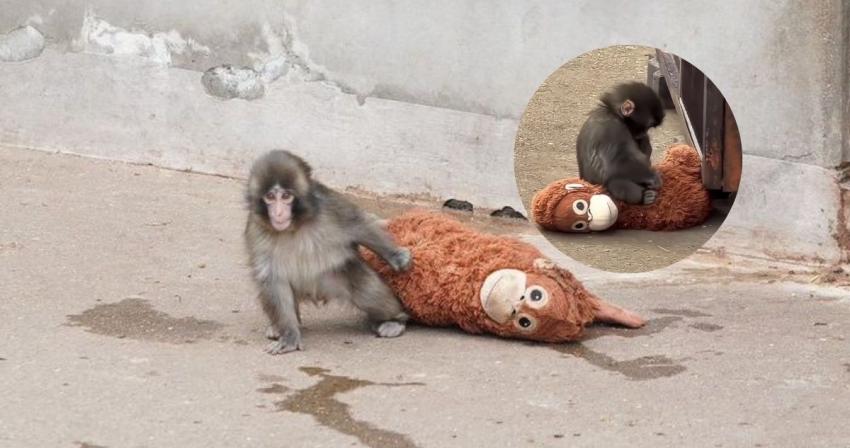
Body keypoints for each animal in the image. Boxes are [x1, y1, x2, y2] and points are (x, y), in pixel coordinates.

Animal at [244, 150, 413, 354]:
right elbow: (272, 278)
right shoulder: (256, 230)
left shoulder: (330, 207)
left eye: (285, 196)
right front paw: (289, 336)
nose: (278, 213)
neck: (293, 227)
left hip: (333, 277)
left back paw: (394, 320)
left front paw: (395, 256)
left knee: (366, 290)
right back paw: (279, 327)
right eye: (269, 196)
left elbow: (358, 226)